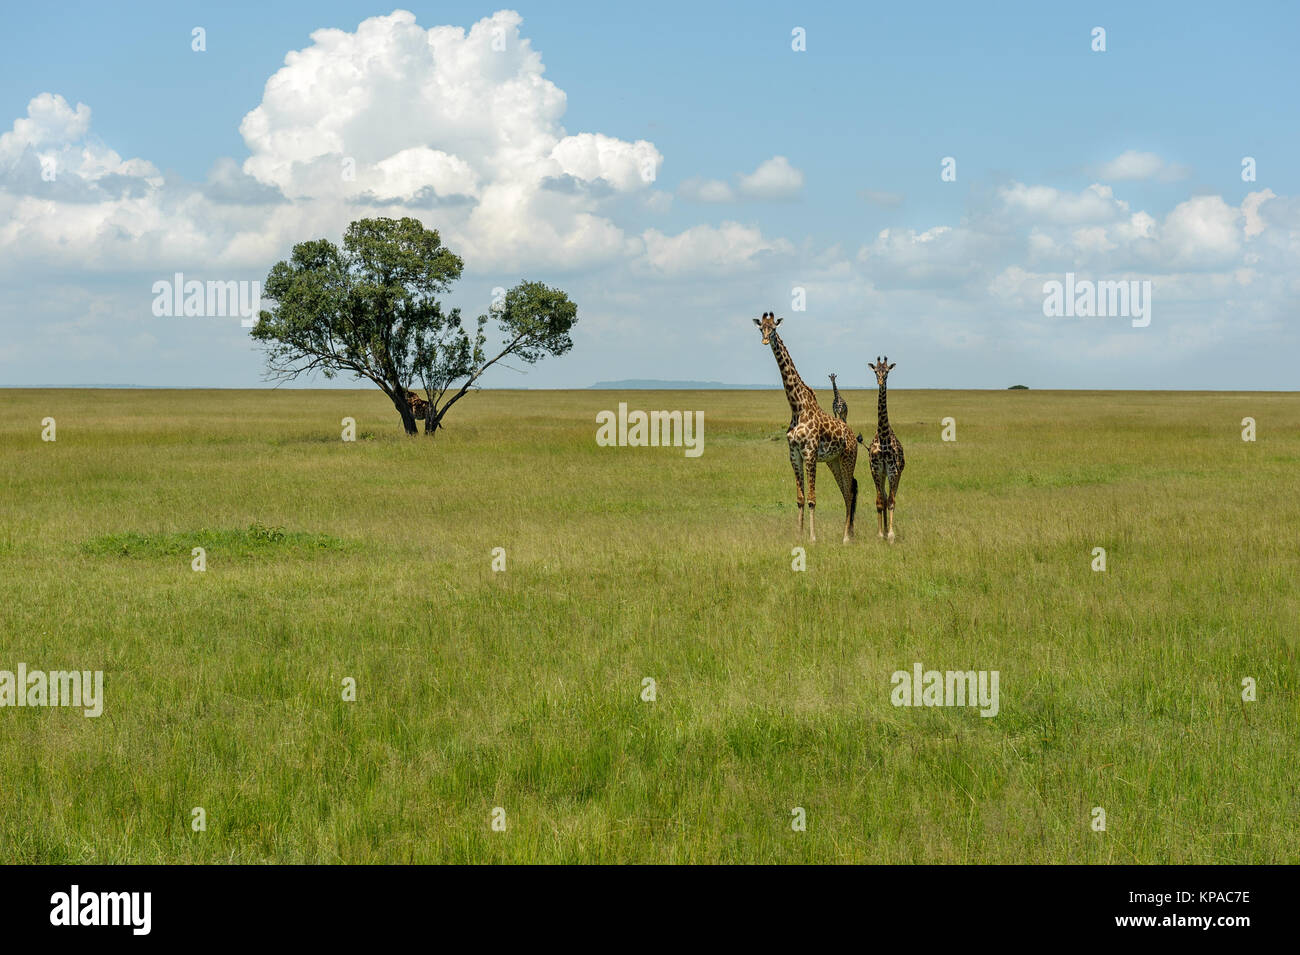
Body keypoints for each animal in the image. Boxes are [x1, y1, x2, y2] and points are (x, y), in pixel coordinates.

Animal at [753, 311, 859, 543]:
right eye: (761, 328)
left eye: (773, 328)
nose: (765, 340)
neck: (797, 407)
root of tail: (853, 435)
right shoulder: (794, 454)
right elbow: (800, 498)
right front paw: (799, 535)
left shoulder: (809, 453)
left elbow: (812, 498)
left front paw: (812, 538)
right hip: (833, 461)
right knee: (848, 490)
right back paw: (848, 532)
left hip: (848, 457)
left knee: (849, 492)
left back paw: (846, 538)